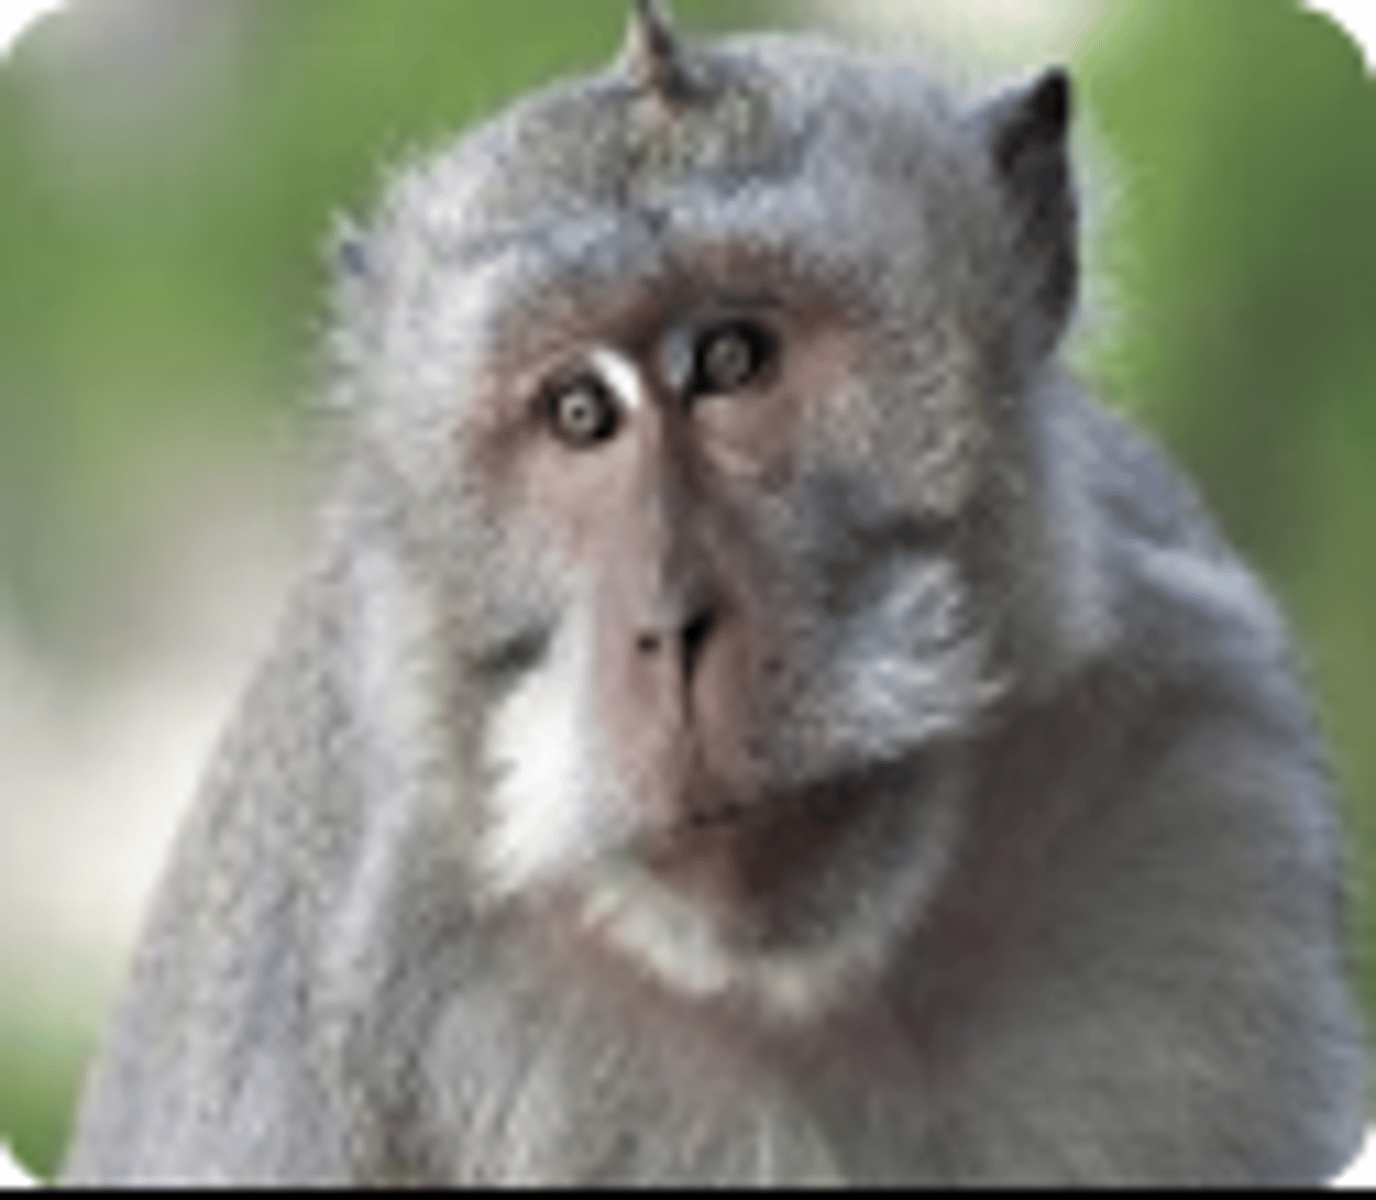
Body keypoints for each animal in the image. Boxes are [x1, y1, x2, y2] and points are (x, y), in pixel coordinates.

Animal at [61, 1, 1367, 1186]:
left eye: (731, 359)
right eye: (578, 412)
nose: (669, 625)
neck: (833, 988)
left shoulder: (1201, 758)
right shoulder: (391, 965)